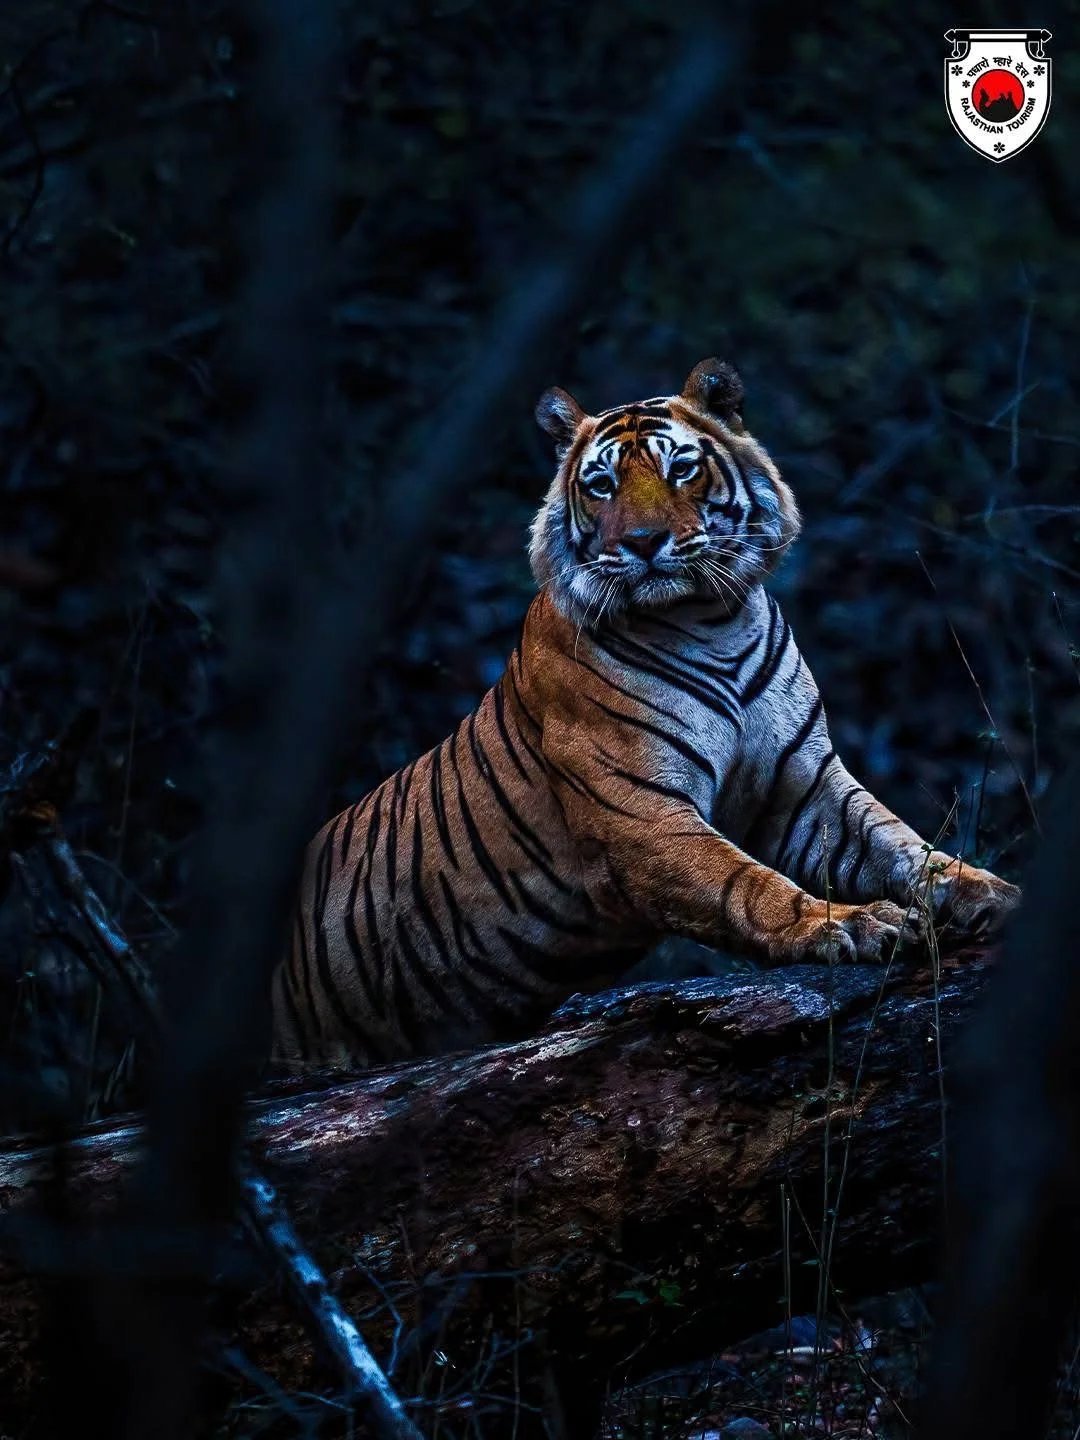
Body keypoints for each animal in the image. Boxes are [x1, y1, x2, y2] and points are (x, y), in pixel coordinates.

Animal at [272, 358, 1020, 1068]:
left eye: (681, 469)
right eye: (601, 485)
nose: (640, 541)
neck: (713, 621)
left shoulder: (805, 788)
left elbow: (904, 845)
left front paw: (992, 895)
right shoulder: (642, 818)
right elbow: (745, 882)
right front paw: (848, 925)